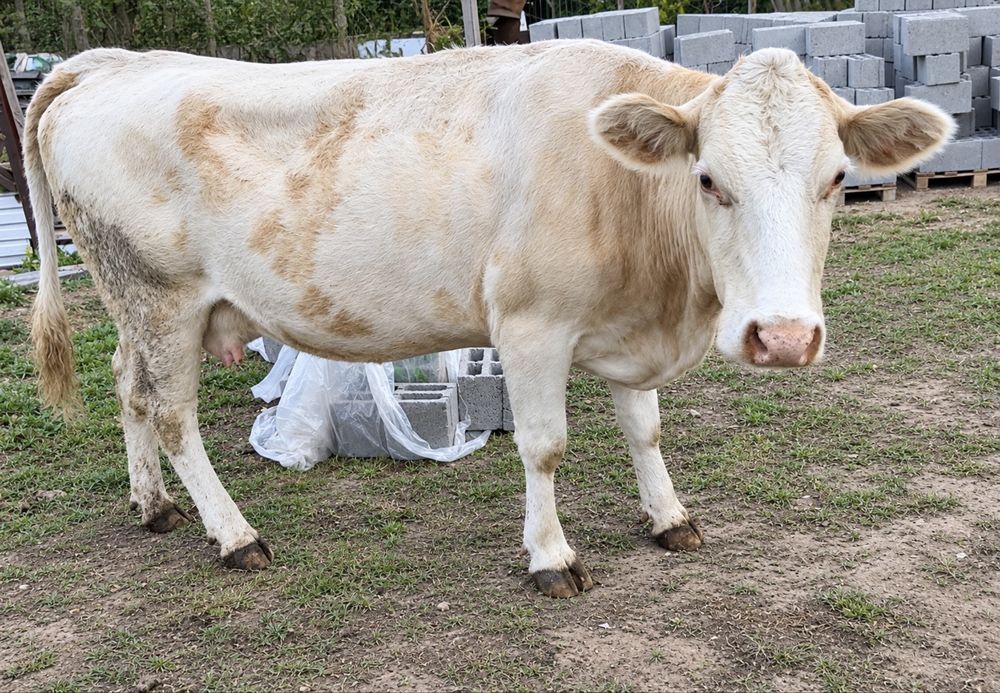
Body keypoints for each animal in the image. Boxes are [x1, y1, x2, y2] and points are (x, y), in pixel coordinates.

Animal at [26, 41, 952, 598]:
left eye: (836, 178)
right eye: (709, 178)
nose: (783, 337)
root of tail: (110, 63)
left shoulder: (626, 330)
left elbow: (646, 430)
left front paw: (669, 517)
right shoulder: (531, 326)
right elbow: (544, 446)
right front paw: (551, 556)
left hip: (133, 304)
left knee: (129, 391)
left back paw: (153, 506)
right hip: (162, 297)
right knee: (173, 414)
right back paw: (234, 534)